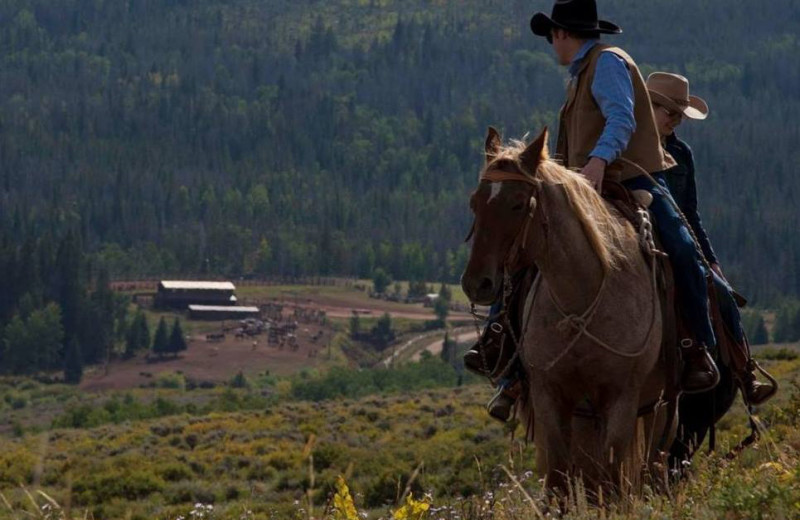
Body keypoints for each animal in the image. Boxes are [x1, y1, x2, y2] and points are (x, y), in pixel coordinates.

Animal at [462, 128, 676, 494]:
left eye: (518, 204)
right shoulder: (551, 396)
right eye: (475, 202)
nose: (477, 284)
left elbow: (613, 483)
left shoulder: (621, 399)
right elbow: (560, 479)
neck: (580, 299)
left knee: (651, 467)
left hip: (660, 406)